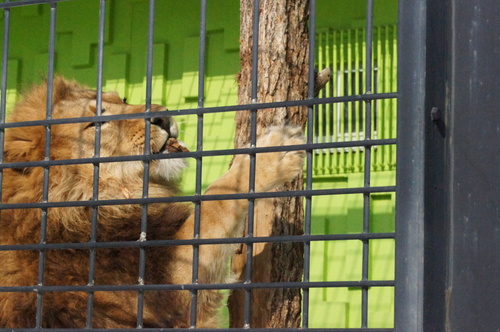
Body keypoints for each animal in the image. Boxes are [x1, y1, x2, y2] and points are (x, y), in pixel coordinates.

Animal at [0, 77, 304, 326]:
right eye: (96, 124)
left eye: (122, 99)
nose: (163, 115)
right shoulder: (168, 290)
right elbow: (215, 201)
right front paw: (273, 151)